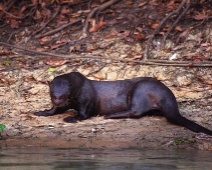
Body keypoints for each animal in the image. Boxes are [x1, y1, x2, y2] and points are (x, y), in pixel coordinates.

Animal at [34, 71, 212, 135]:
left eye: (64, 94)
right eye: (52, 94)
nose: (57, 99)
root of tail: (167, 94)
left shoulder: (86, 99)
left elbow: (84, 114)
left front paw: (71, 118)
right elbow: (53, 110)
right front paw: (41, 112)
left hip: (140, 89)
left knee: (136, 111)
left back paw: (111, 115)